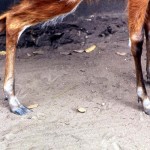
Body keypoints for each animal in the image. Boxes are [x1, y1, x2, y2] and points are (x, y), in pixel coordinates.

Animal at [0, 0, 149, 115]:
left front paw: (148, 76)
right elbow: (136, 40)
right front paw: (145, 100)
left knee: (7, 18)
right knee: (13, 20)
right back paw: (14, 102)